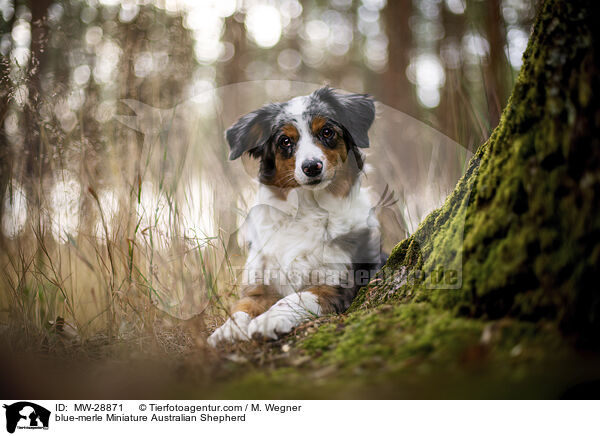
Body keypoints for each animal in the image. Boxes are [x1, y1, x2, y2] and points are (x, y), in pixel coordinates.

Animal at [209, 87, 382, 346]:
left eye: (327, 132)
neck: (307, 209)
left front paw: (269, 320)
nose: (312, 166)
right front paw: (226, 331)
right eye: (285, 141)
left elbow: (295, 297)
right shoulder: (259, 285)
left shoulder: (335, 284)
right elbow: (241, 307)